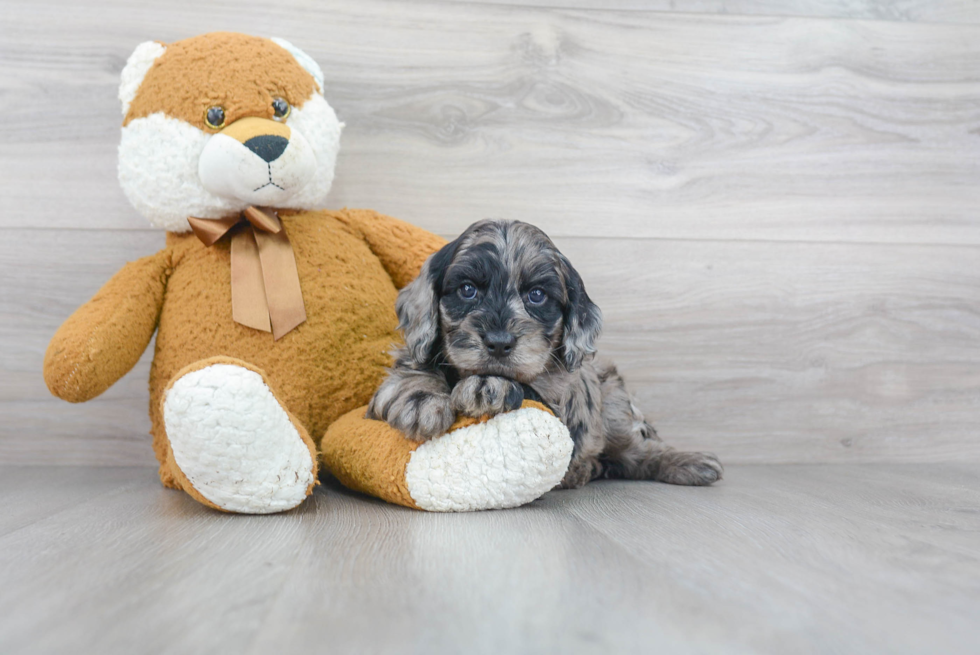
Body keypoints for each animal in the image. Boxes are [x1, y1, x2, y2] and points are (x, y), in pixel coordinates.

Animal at [366, 219, 720, 486]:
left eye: (537, 295)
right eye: (467, 290)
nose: (498, 342)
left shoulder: (560, 407)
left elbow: (527, 389)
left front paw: (488, 384)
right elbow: (410, 375)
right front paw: (420, 400)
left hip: (614, 402)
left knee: (637, 451)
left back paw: (688, 462)